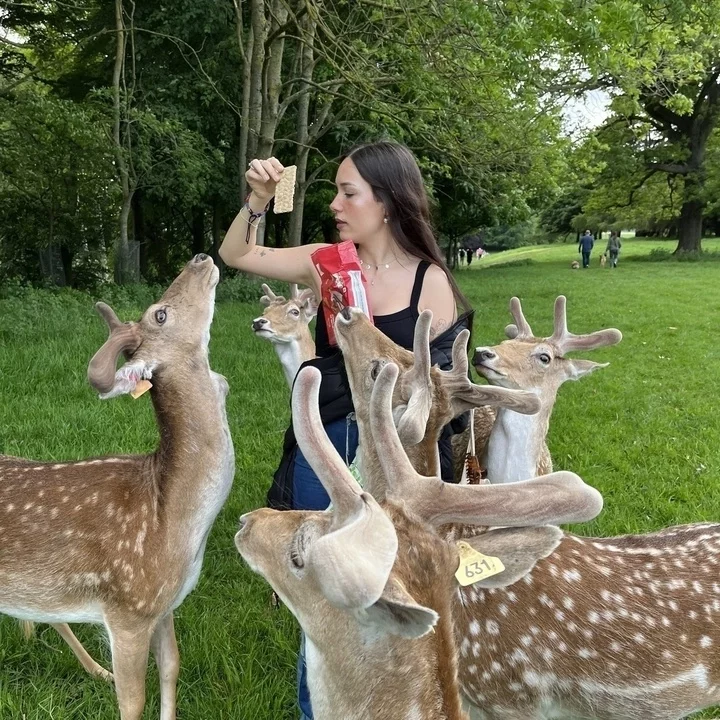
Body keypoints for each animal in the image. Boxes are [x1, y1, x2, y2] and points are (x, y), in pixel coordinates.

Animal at [0, 254, 234, 720]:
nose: (200, 258)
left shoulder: (162, 606)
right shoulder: (128, 607)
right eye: (160, 314)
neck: (173, 520)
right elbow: (133, 700)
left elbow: (172, 669)